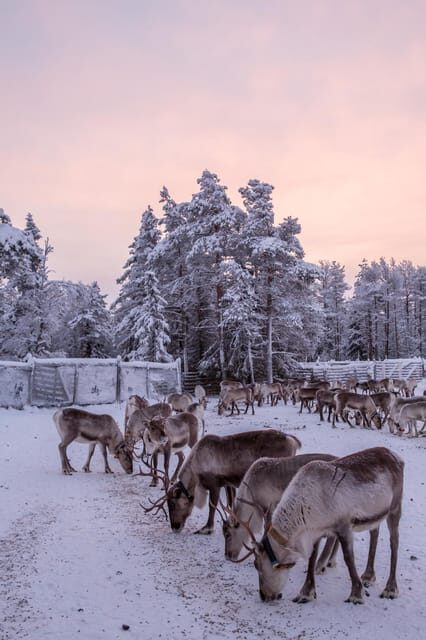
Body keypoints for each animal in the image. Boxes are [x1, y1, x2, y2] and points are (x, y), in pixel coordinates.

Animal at [141, 429, 301, 535]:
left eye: (173, 503)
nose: (175, 527)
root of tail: (293, 440)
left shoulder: (214, 484)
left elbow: (212, 506)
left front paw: (207, 528)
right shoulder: (228, 483)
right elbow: (230, 503)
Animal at [247, 447, 403, 605]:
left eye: (257, 564)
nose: (264, 596)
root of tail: (394, 455)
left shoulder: (343, 525)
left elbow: (348, 558)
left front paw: (356, 594)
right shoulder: (316, 530)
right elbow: (312, 557)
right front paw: (306, 593)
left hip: (395, 508)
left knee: (394, 541)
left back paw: (390, 588)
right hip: (375, 515)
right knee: (374, 534)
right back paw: (368, 576)